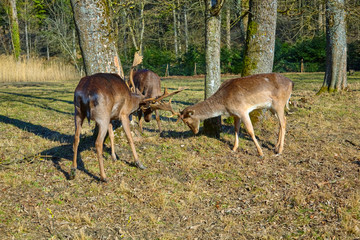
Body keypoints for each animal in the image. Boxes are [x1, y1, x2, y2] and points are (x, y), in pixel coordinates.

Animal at [71, 51, 183, 181]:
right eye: (144, 107)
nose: (147, 119)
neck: (131, 99)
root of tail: (85, 93)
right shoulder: (123, 114)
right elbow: (129, 137)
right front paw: (139, 163)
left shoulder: (111, 117)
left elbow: (112, 135)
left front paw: (114, 157)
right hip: (101, 115)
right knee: (98, 143)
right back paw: (103, 176)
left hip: (78, 112)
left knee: (76, 138)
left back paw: (73, 170)